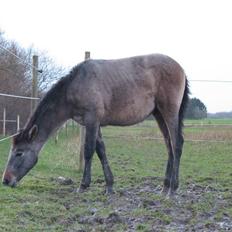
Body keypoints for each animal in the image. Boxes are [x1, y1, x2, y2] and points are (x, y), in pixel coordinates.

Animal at [2, 53, 189, 195]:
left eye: (19, 153)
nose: (6, 180)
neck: (76, 85)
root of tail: (181, 68)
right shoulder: (95, 123)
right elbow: (101, 151)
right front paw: (109, 186)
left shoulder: (91, 120)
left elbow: (88, 150)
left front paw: (83, 185)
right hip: (159, 114)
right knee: (169, 146)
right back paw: (164, 187)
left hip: (169, 112)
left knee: (176, 144)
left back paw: (173, 188)